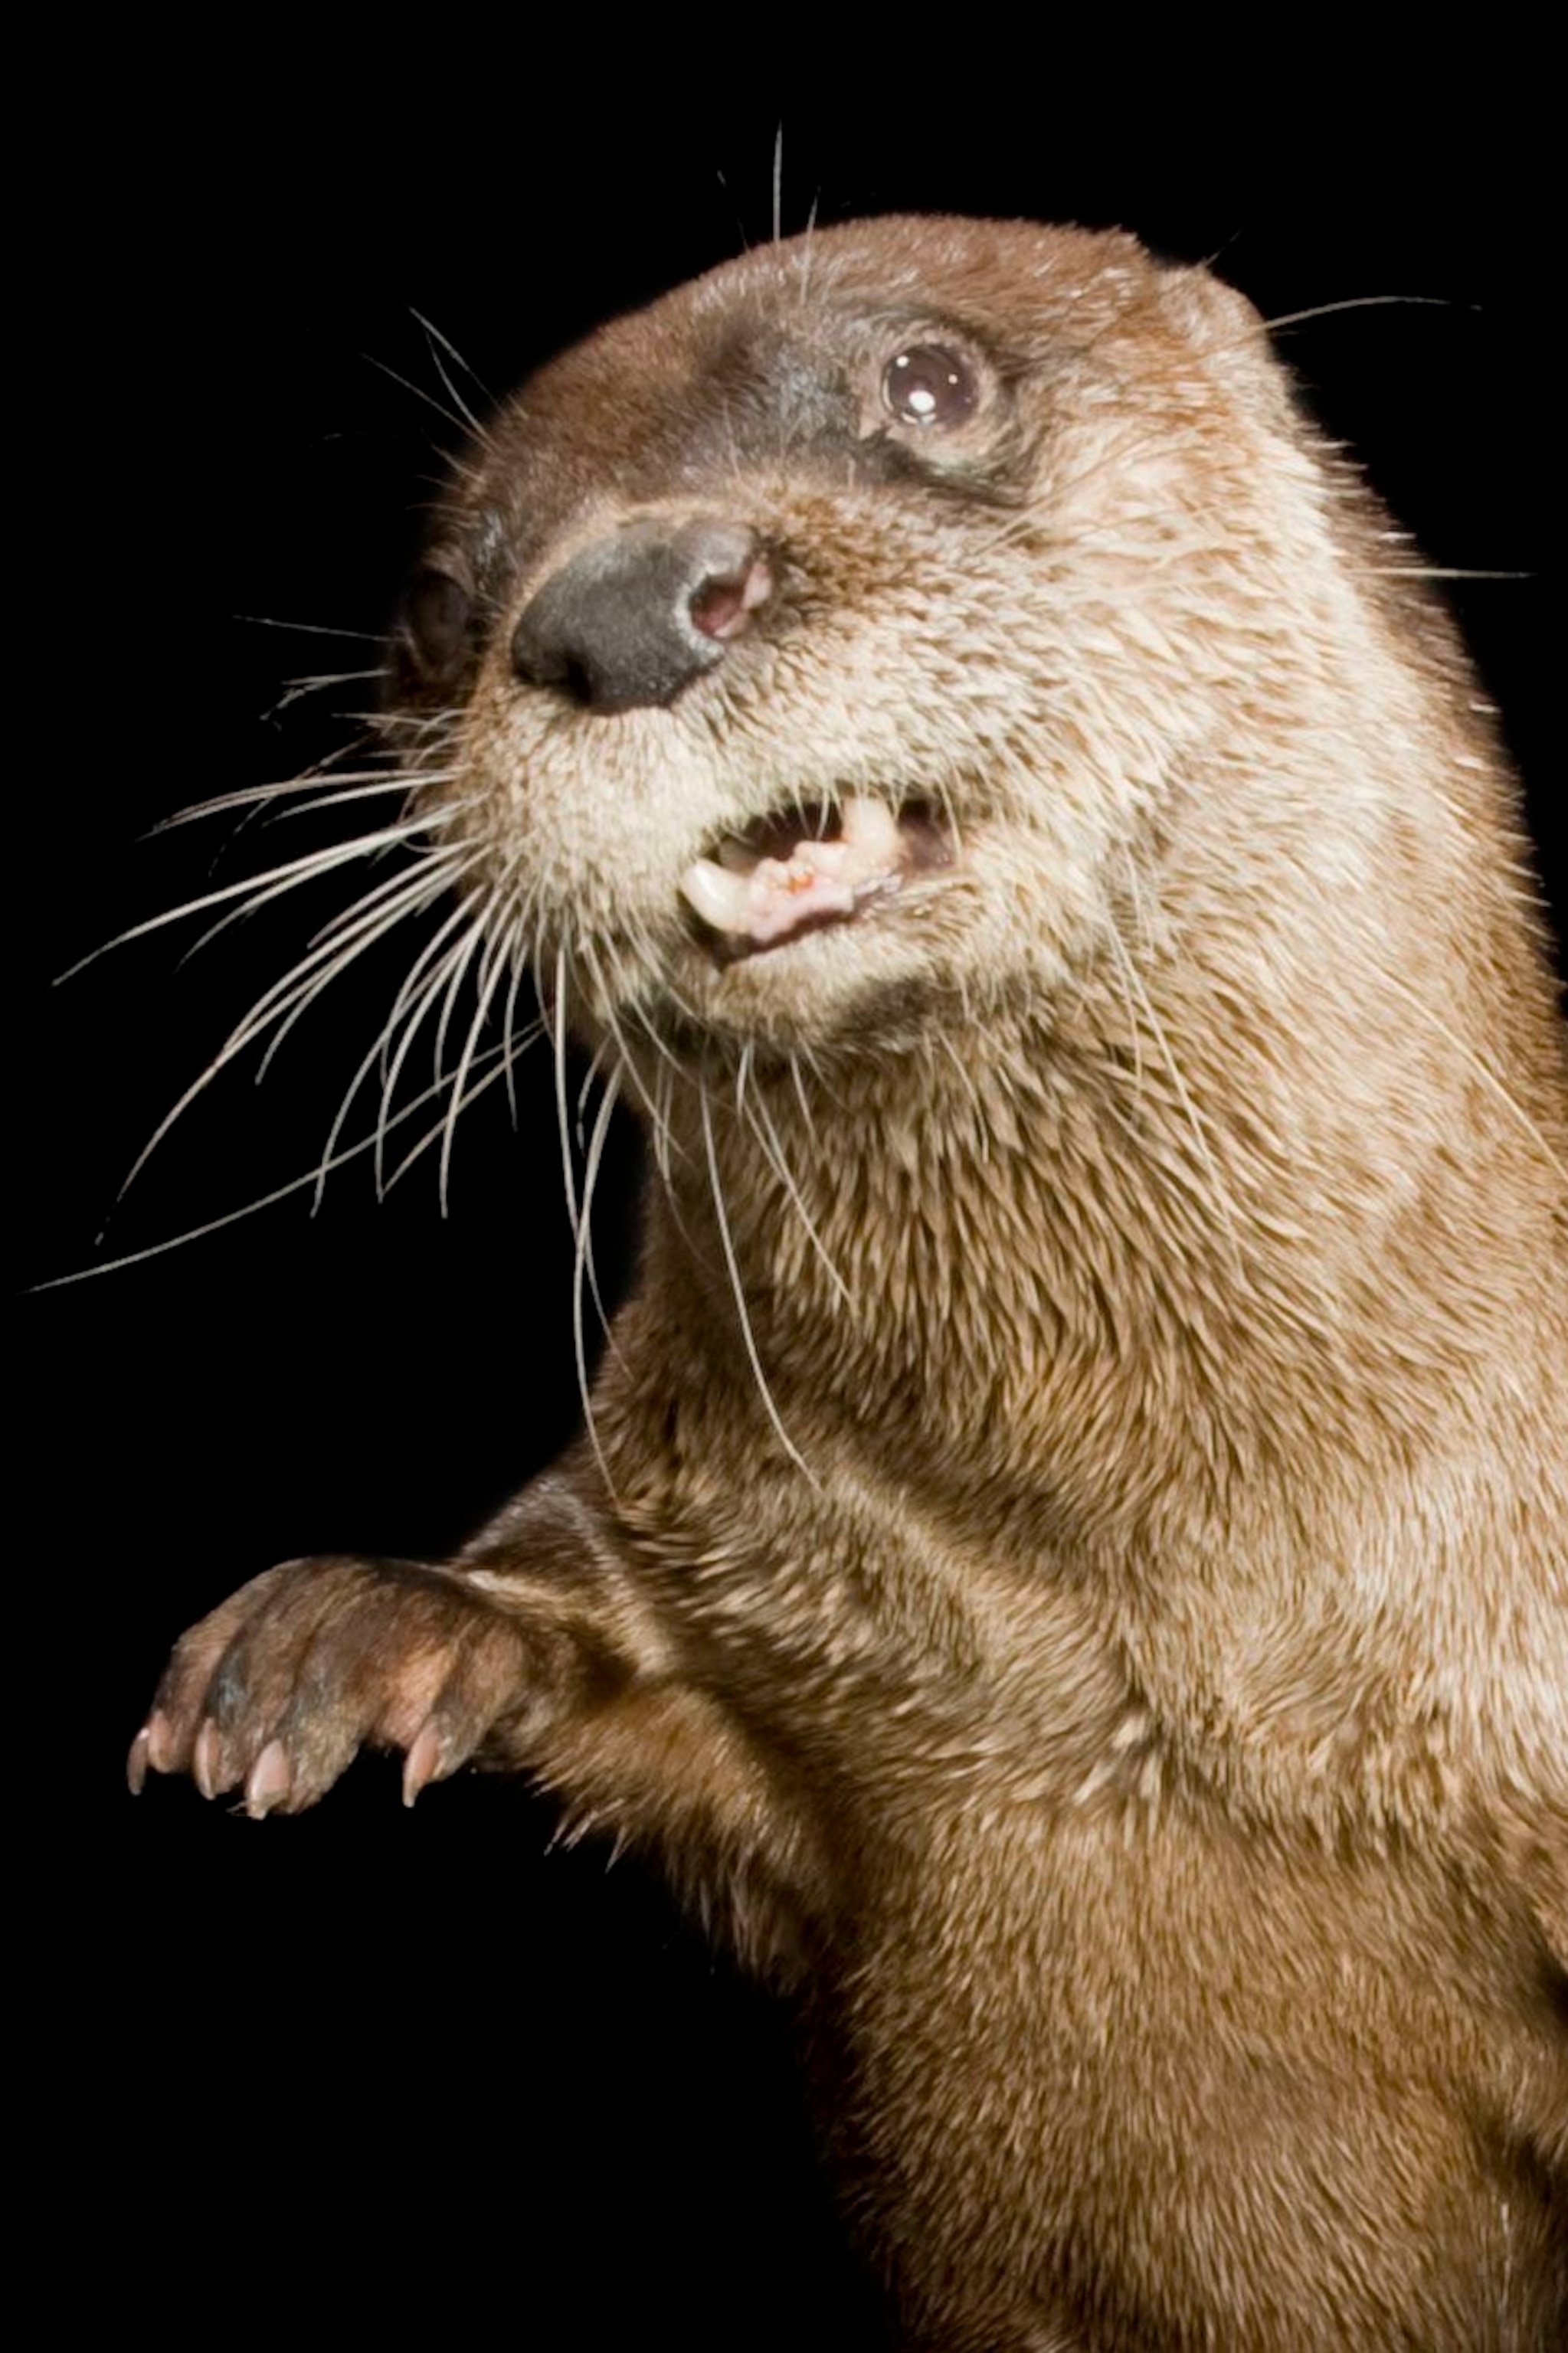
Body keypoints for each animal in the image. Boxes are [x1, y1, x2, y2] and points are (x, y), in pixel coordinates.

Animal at [127, 218, 1566, 2348]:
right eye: (439, 598)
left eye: (926, 380)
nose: (624, 607)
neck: (1192, 1614)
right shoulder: (743, 1556)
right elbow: (585, 1613)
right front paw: (345, 1631)